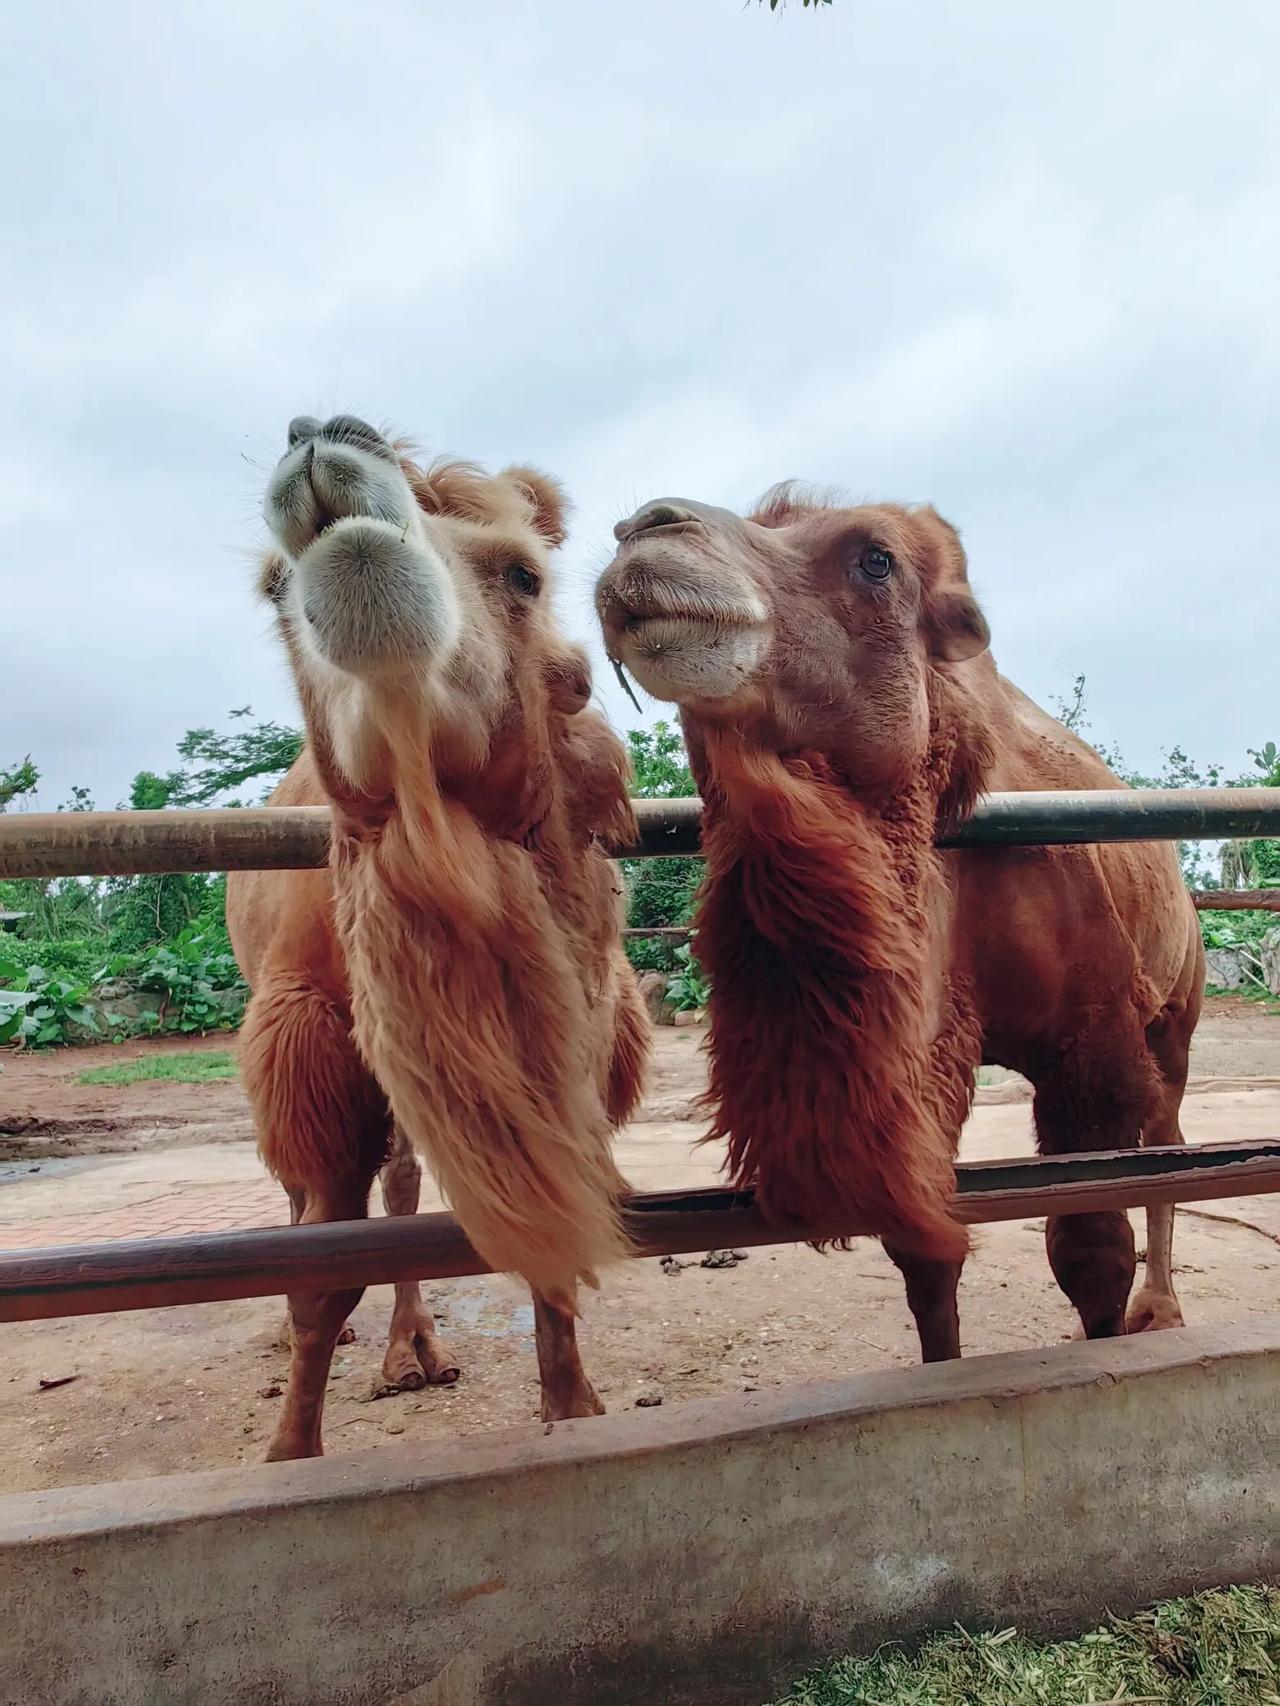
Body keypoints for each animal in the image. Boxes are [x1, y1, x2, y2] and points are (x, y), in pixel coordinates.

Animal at [225, 409, 645, 1453]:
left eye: (524, 574)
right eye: (274, 587)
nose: (319, 438)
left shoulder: (579, 1032)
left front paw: (574, 1407)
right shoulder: (310, 1034)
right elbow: (322, 1274)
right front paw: (291, 1452)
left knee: (408, 1176)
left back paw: (413, 1348)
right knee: (313, 1194)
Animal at [600, 487, 1201, 1351]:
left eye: (875, 559)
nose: (646, 528)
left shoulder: (1096, 1041)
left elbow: (1092, 1248)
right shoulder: (919, 1063)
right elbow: (925, 1254)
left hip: (1176, 1012)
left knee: (1171, 1144)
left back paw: (1161, 1308)